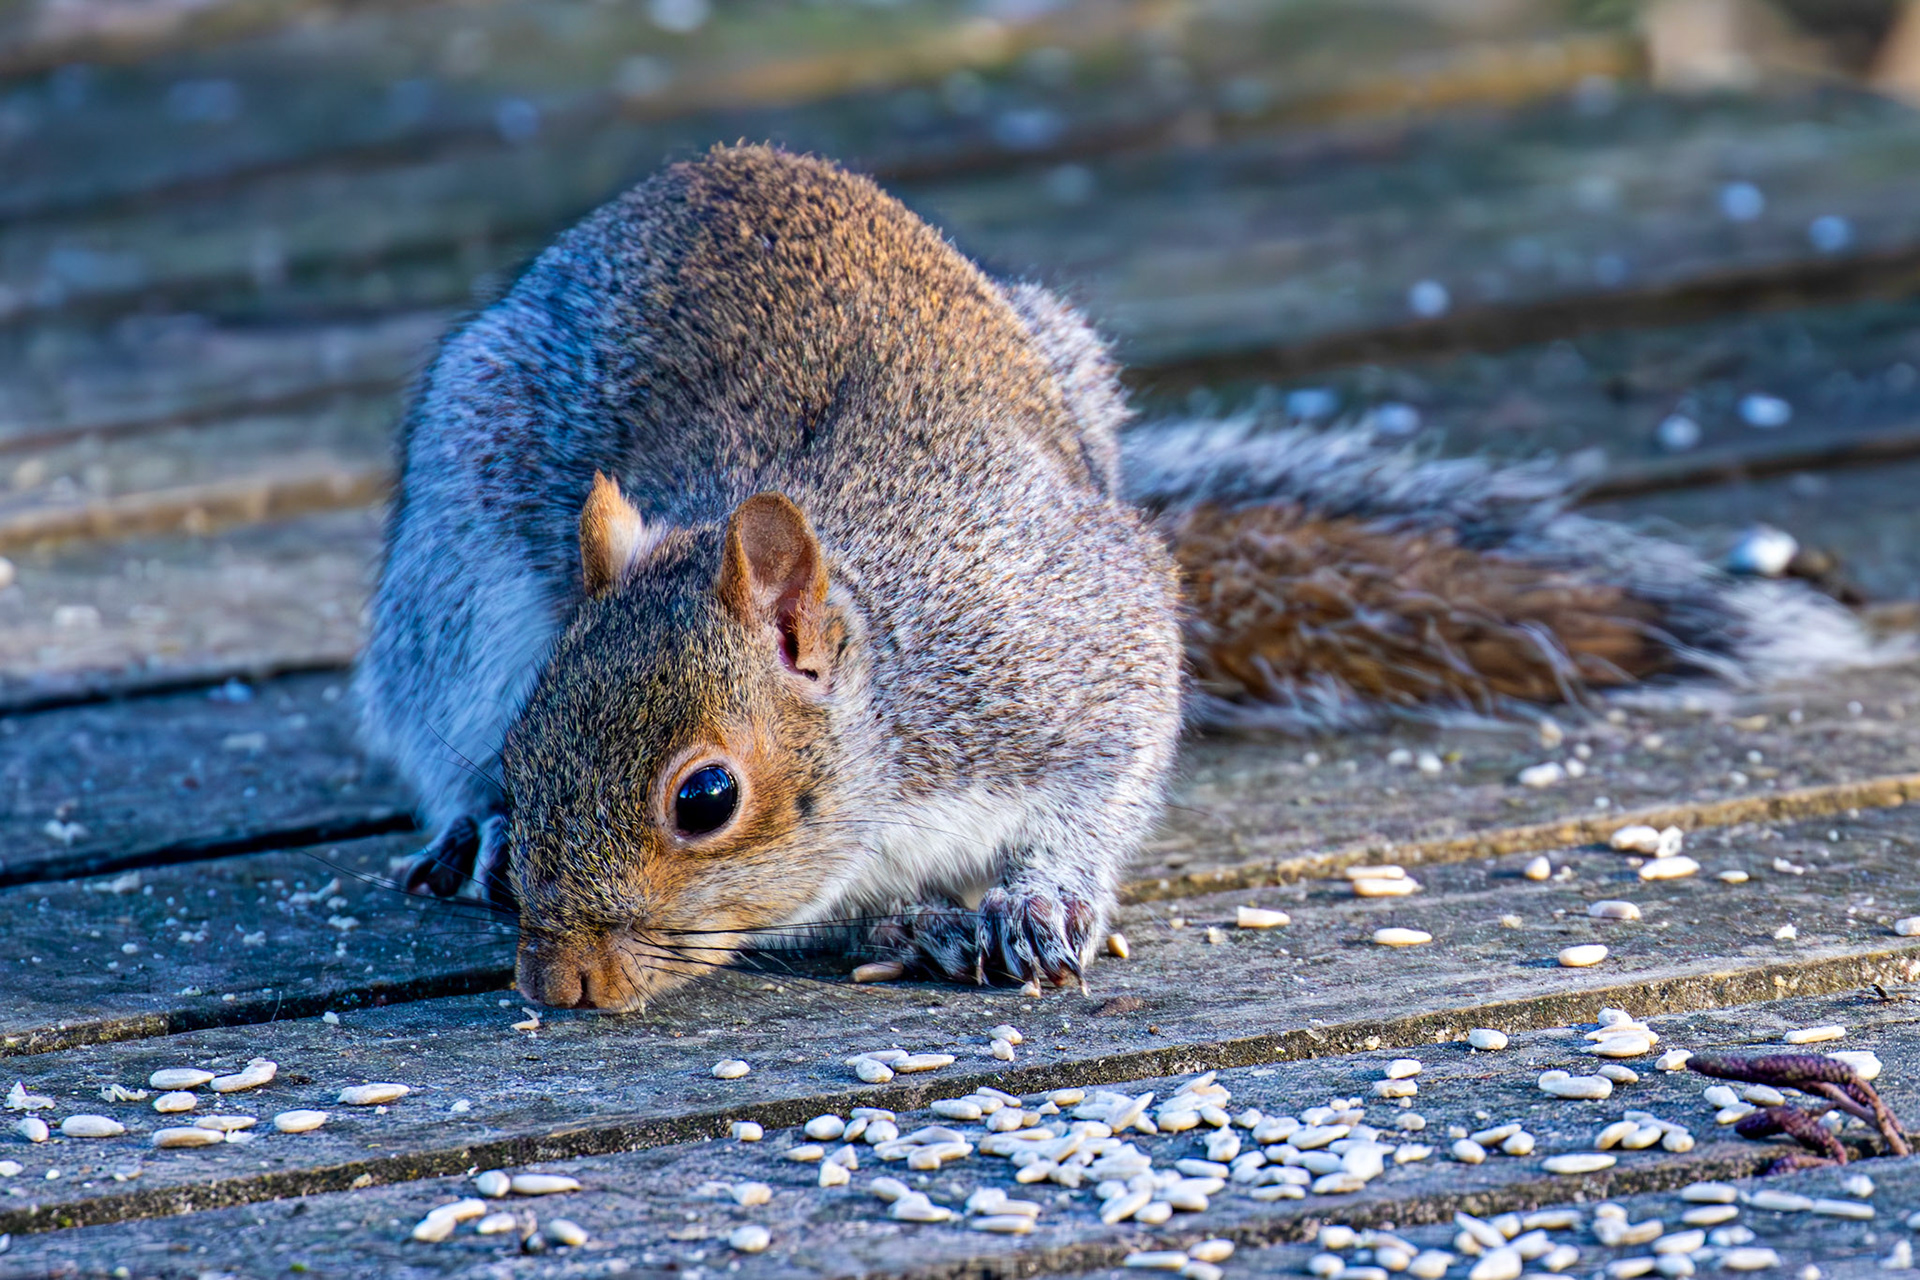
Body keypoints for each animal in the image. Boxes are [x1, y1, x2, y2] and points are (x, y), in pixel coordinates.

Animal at [355, 145, 1872, 1012]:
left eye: (706, 799)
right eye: (531, 744)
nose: (561, 983)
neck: (893, 715)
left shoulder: (1072, 639)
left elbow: (1110, 771)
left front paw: (1036, 902)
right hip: (461, 558)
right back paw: (469, 828)